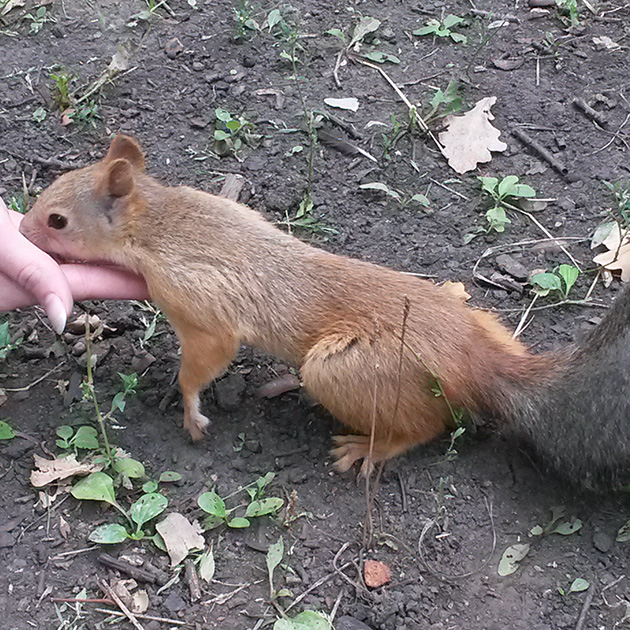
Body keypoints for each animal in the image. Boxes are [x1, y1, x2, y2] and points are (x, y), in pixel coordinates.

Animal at [18, 136, 630, 486]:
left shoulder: (199, 301)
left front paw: (191, 411)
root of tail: (476, 361)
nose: (21, 232)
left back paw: (368, 446)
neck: (158, 221)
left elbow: (207, 358)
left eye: (57, 220)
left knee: (426, 427)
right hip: (478, 322)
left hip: (345, 371)